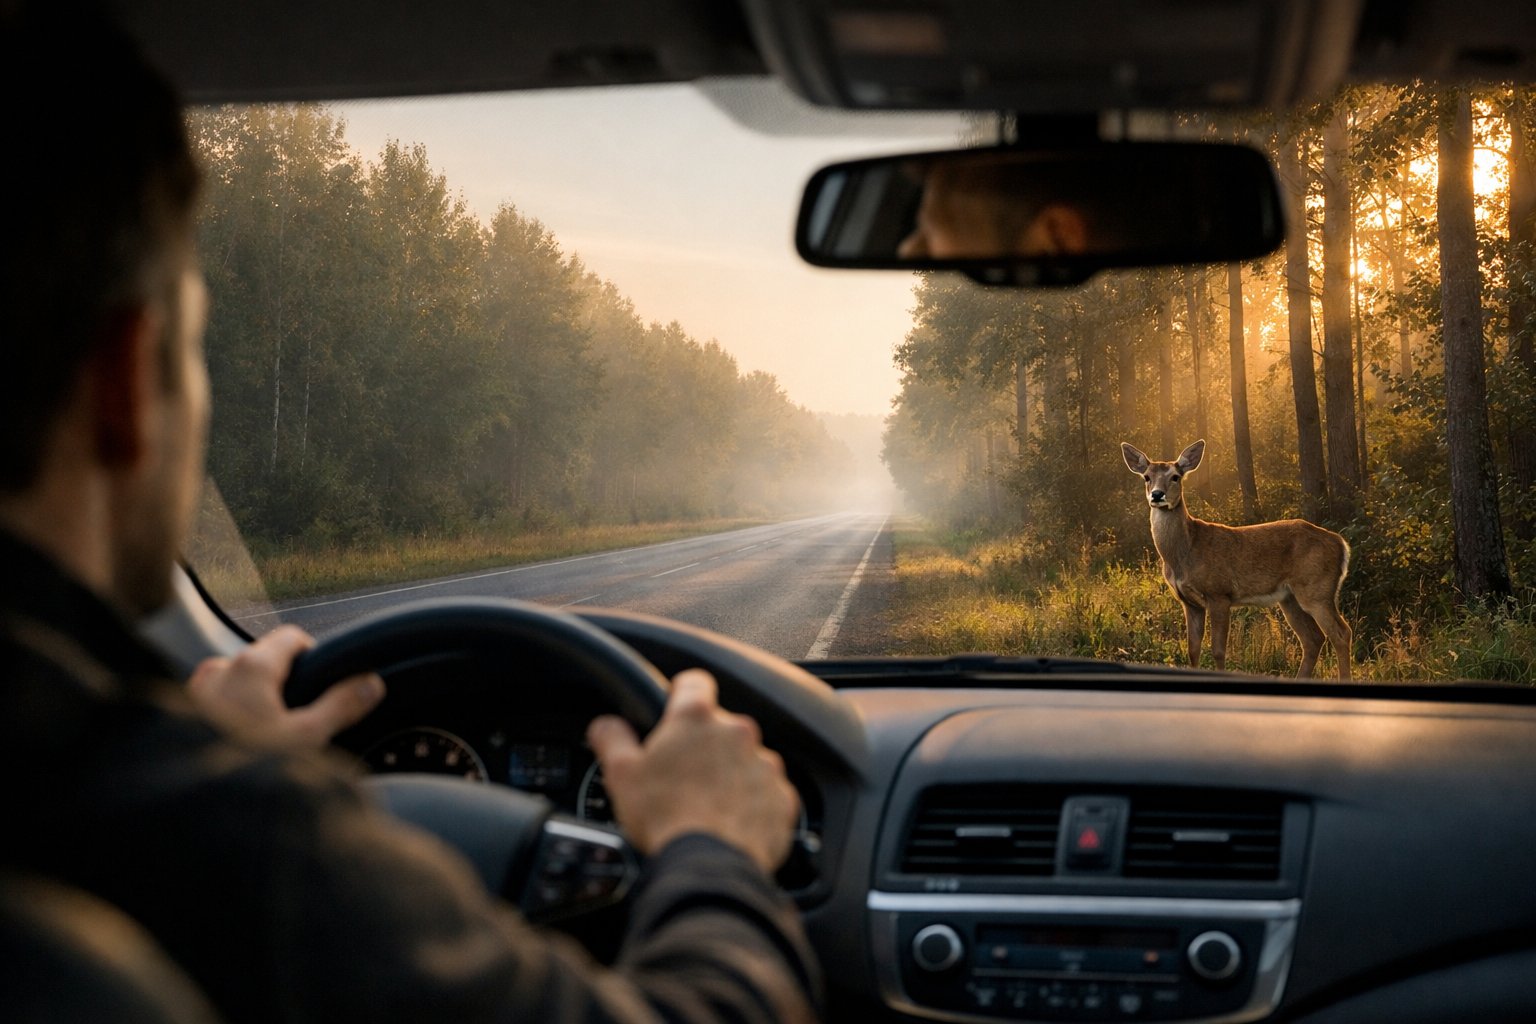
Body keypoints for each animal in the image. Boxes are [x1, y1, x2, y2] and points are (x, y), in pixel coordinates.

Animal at [1121, 439, 1353, 679]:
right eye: (1147, 477)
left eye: (1175, 476)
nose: (1157, 495)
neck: (1183, 554)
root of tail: (1341, 543)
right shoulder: (1189, 602)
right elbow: (1193, 650)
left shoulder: (1219, 593)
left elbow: (1218, 650)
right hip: (1290, 598)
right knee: (1313, 639)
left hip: (1316, 588)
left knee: (1341, 633)